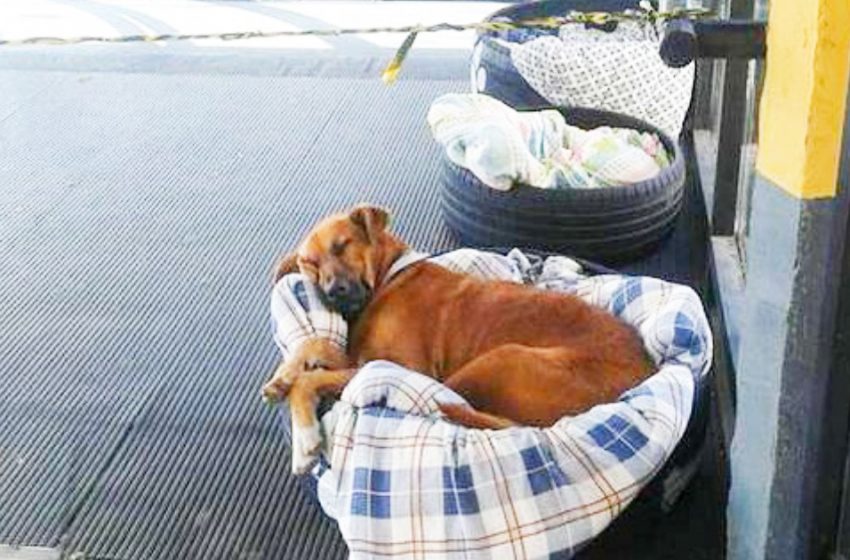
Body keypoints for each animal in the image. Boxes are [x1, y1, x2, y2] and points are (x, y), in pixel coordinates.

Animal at [262, 206, 652, 472]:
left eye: (342, 245)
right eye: (309, 264)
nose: (332, 293)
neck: (389, 277)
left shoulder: (400, 365)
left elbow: (310, 380)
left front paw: (305, 438)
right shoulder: (361, 357)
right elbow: (314, 344)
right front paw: (282, 376)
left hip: (494, 361)